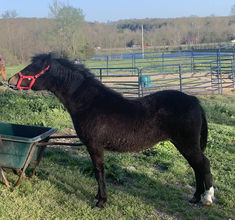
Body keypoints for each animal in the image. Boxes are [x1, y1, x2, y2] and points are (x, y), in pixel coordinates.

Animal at [8, 53, 214, 208]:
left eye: (32, 69)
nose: (10, 79)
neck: (90, 104)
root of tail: (194, 100)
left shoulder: (95, 146)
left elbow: (99, 171)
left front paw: (101, 201)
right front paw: (99, 198)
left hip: (186, 144)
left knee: (203, 164)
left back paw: (207, 198)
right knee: (196, 166)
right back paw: (195, 197)